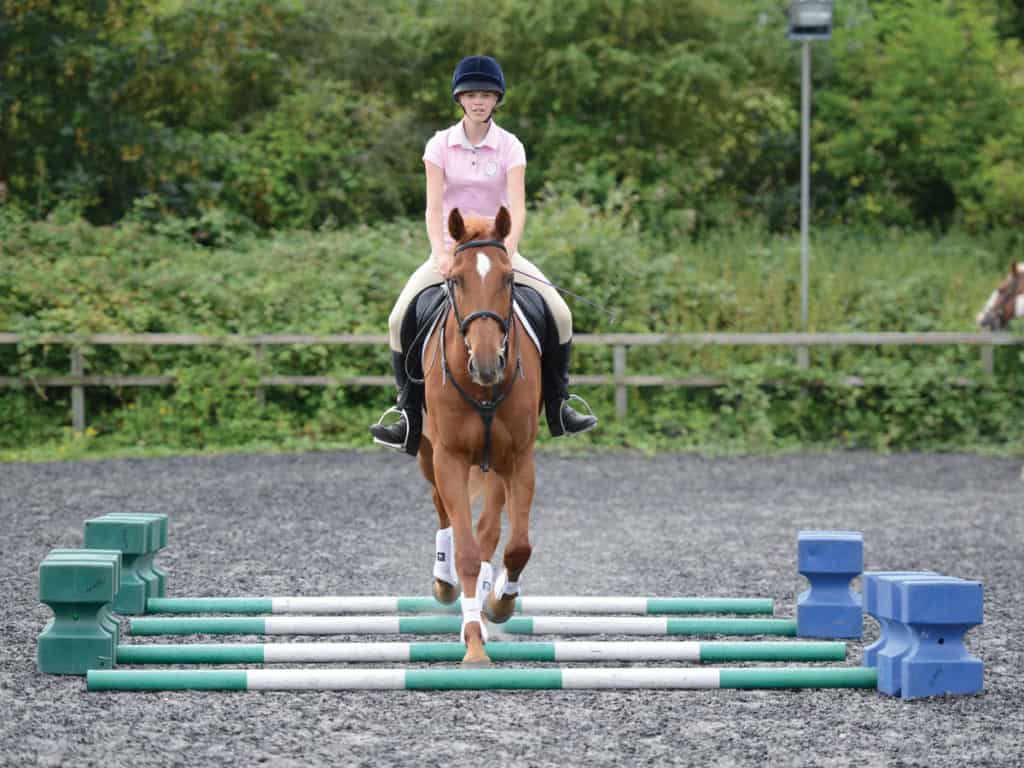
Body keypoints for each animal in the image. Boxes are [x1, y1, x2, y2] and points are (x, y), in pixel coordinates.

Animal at [415, 207, 544, 663]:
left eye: (507, 279)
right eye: (455, 279)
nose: (487, 364)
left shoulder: (519, 459)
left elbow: (516, 546)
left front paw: (498, 605)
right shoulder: (449, 458)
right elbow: (467, 552)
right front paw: (472, 643)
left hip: (495, 466)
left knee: (489, 531)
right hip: (427, 453)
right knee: (442, 510)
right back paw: (444, 583)